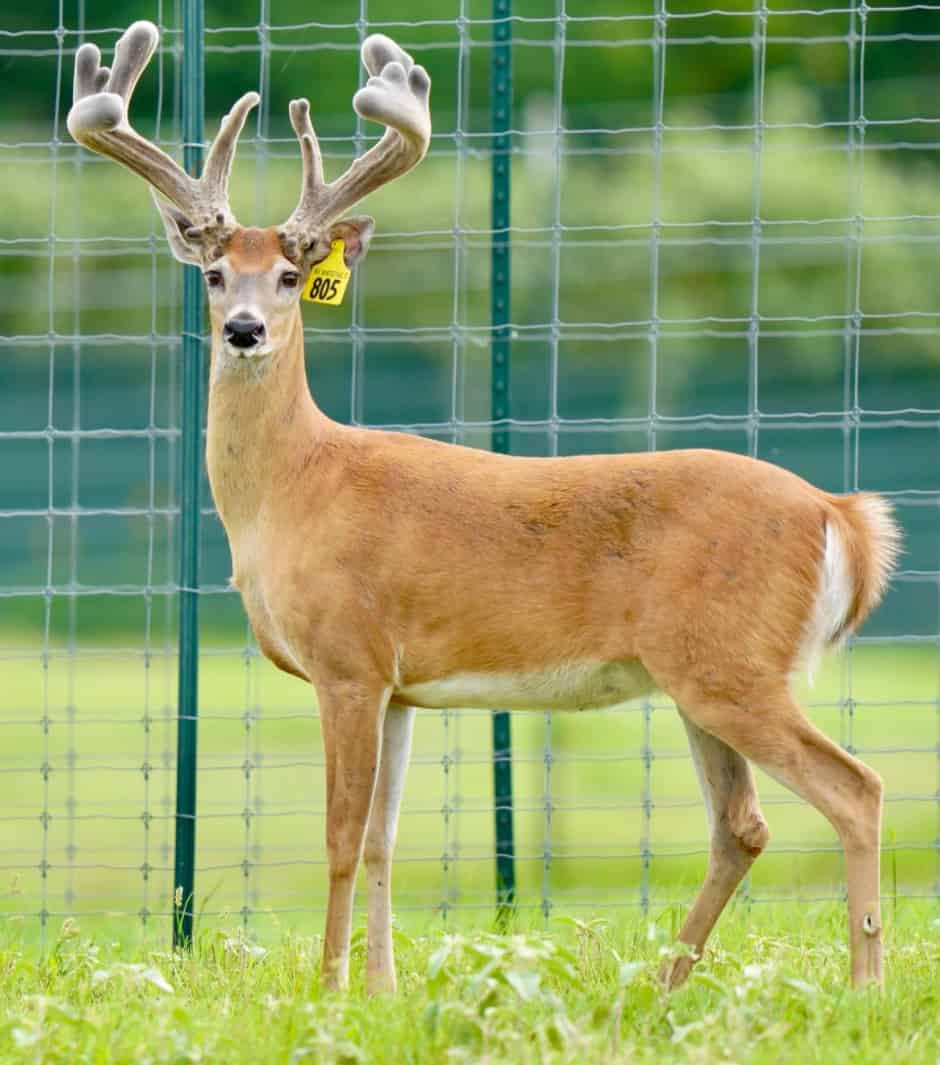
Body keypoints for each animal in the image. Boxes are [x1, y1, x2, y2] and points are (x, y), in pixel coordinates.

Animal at [68, 21, 900, 995]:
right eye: (209, 274)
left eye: (288, 275)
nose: (244, 330)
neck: (293, 488)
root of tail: (839, 513)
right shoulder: (399, 686)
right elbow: (385, 839)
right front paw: (383, 991)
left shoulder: (347, 659)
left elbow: (340, 836)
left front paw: (329, 989)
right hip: (702, 677)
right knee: (743, 824)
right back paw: (663, 985)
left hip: (734, 663)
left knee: (855, 788)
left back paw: (863, 983)